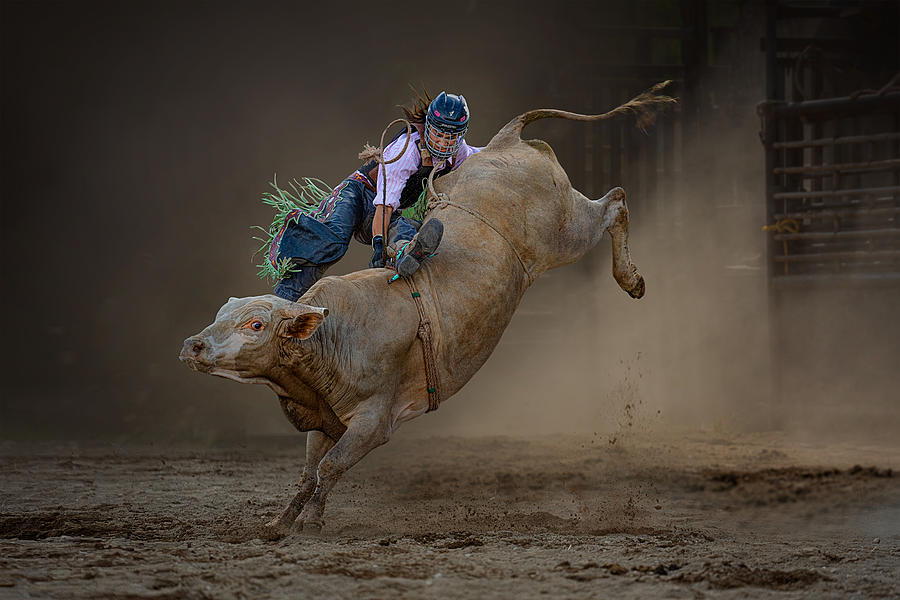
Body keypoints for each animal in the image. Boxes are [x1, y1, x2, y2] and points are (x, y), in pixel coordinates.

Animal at [178, 83, 676, 536]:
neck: (330, 337)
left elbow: (331, 467)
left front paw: (311, 523)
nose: (192, 345)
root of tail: (504, 142)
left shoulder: (374, 421)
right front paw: (279, 522)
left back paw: (631, 280)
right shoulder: (324, 419)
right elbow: (307, 473)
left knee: (615, 202)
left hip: (567, 231)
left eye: (256, 324)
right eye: (222, 315)